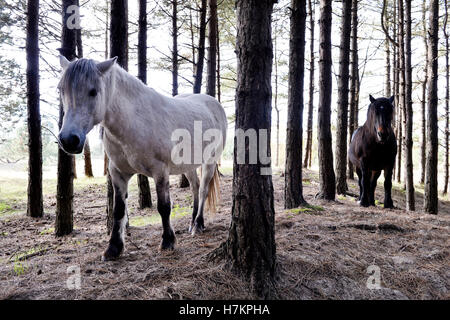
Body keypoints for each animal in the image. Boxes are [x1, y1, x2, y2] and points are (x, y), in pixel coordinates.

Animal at [59, 55, 229, 260]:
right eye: (61, 90)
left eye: (93, 91)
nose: (69, 139)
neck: (134, 121)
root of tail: (213, 103)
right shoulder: (118, 173)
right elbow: (118, 210)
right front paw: (113, 248)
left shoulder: (160, 172)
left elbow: (164, 207)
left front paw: (168, 241)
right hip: (188, 165)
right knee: (195, 188)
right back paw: (192, 223)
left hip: (209, 162)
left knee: (203, 190)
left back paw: (198, 224)